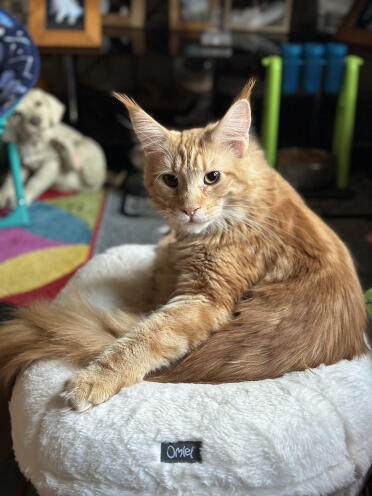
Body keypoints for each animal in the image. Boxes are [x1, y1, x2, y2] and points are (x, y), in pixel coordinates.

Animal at [0, 79, 368, 408]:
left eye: (212, 177)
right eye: (170, 180)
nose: (189, 210)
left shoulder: (204, 298)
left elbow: (141, 340)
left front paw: (93, 381)